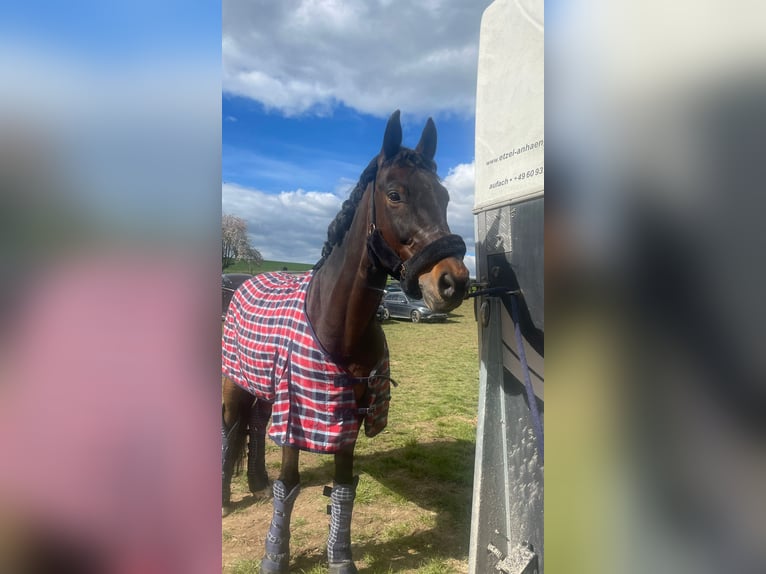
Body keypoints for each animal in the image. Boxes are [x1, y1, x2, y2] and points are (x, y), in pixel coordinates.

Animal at [222, 111, 472, 574]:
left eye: (446, 196)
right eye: (395, 194)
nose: (453, 282)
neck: (338, 323)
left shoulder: (351, 413)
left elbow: (342, 484)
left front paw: (340, 557)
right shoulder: (301, 411)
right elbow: (290, 482)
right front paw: (275, 555)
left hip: (265, 389)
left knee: (255, 426)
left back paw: (256, 483)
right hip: (234, 383)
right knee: (231, 429)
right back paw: (228, 496)